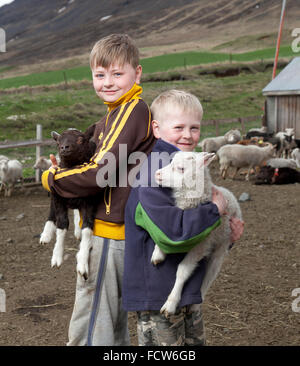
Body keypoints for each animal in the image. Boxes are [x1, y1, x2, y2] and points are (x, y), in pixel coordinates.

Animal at [151, 150, 243, 316]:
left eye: (181, 168)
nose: (157, 173)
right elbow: (166, 234)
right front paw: (158, 253)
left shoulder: (201, 244)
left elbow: (182, 271)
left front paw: (170, 304)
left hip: (221, 248)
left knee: (209, 276)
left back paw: (195, 305)